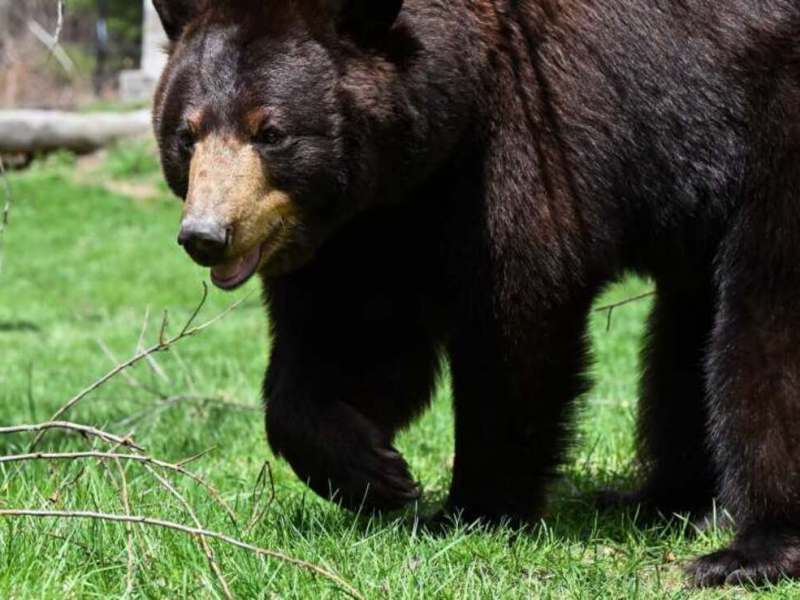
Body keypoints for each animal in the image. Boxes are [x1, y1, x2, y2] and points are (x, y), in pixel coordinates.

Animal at [151, 0, 800, 588]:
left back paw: (751, 549)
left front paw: (472, 509)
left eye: (271, 131)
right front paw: (375, 472)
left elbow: (515, 317)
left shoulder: (533, 130)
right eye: (187, 133)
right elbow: (353, 334)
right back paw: (662, 499)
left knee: (763, 319)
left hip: (771, 125)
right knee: (687, 331)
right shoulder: (372, 216)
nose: (205, 235)